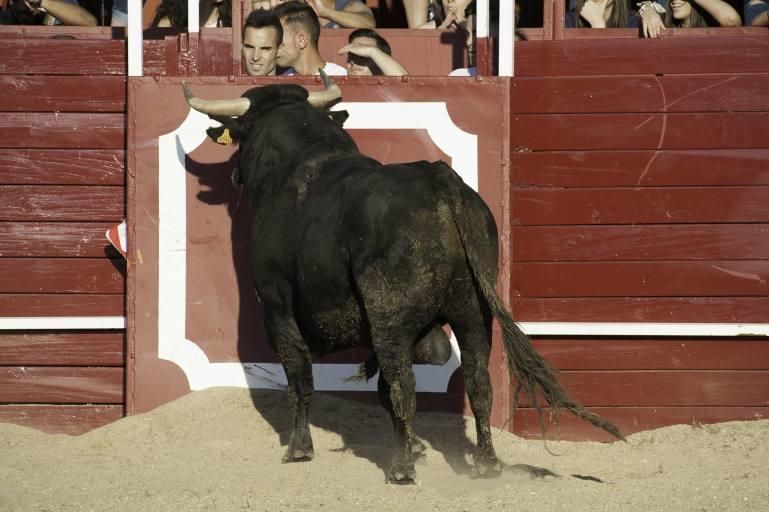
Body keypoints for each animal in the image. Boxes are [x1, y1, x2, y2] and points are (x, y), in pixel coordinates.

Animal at [186, 79, 624, 484]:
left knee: (404, 382)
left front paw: (299, 449)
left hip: (391, 317)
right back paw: (485, 463)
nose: (234, 175)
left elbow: (300, 376)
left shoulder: (277, 305)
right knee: (478, 381)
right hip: (472, 310)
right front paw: (413, 446)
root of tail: (441, 181)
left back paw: (400, 470)